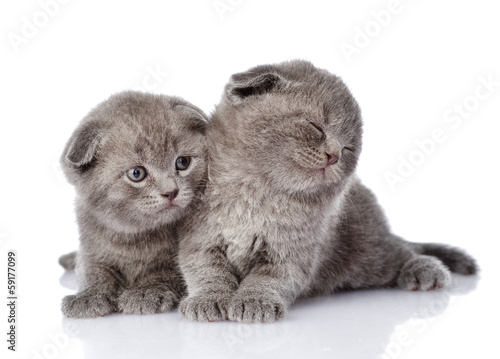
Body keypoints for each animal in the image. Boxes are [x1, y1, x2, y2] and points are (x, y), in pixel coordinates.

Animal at [61, 91, 209, 320]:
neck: (136, 237)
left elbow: (165, 271)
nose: (171, 191)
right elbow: (92, 270)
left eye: (183, 162)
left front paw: (145, 292)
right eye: (137, 173)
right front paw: (88, 295)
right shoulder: (91, 243)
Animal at [179, 60, 476, 324]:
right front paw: (209, 299)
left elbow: (269, 278)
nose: (334, 155)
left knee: (401, 251)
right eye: (315, 126)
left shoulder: (293, 252)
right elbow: (207, 271)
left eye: (348, 147)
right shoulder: (200, 239)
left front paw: (255, 301)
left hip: (368, 252)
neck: (258, 193)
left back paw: (426, 270)